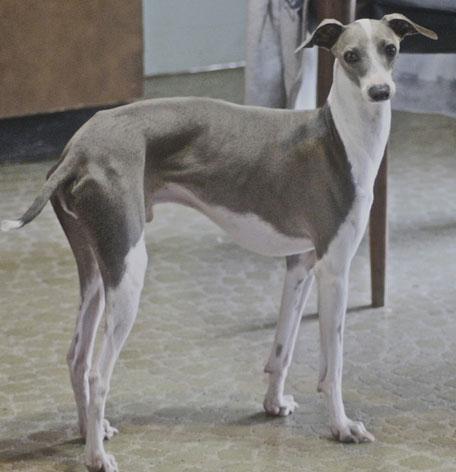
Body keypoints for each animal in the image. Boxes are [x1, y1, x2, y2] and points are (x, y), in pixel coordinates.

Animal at [2, 14, 437, 472]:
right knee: (97, 374)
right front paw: (341, 427)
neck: (340, 139)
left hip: (97, 270)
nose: (380, 91)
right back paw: (97, 457)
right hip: (129, 269)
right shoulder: (334, 270)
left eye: (390, 49)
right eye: (351, 55)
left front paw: (274, 403)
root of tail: (76, 149)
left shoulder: (301, 264)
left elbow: (283, 346)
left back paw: (91, 431)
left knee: (76, 356)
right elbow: (332, 365)